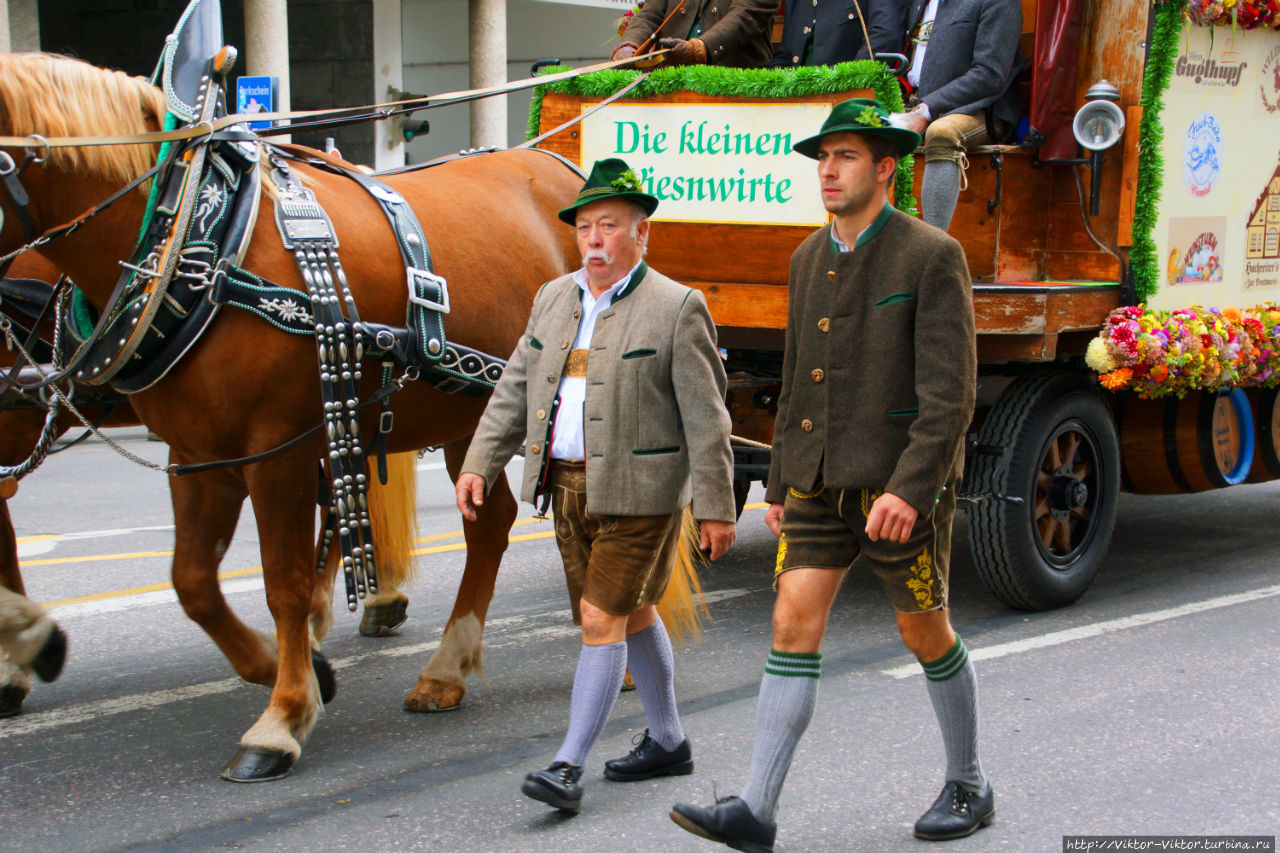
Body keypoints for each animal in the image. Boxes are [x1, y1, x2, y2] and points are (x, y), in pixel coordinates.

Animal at [0, 48, 581, 778]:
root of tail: (563, 171)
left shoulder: (276, 450)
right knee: (490, 523)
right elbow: (192, 580)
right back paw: (449, 667)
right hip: (469, 414)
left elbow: (284, 579)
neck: (200, 242)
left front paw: (282, 716)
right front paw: (294, 668)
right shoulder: (199, 455)